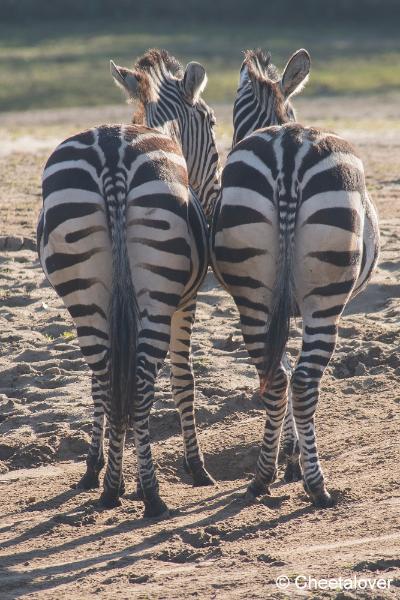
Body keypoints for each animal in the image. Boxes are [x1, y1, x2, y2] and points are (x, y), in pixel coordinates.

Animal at [38, 49, 220, 516]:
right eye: (212, 121)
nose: (215, 196)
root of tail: (113, 156)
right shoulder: (185, 301)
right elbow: (181, 377)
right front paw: (193, 467)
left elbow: (104, 385)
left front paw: (100, 468)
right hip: (157, 296)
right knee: (137, 384)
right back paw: (151, 495)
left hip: (84, 293)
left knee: (103, 377)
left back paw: (109, 486)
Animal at [211, 49, 380, 506]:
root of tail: (287, 151)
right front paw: (295, 460)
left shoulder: (278, 307)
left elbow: (280, 366)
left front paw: (287, 457)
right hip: (325, 299)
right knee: (303, 383)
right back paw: (316, 485)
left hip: (253, 296)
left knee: (276, 380)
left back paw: (261, 478)